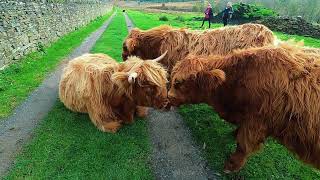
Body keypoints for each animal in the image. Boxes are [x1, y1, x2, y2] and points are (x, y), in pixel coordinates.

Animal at [168, 44, 320, 172]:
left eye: (178, 83)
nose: (168, 97)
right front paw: (234, 133)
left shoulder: (256, 122)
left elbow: (242, 145)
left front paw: (231, 165)